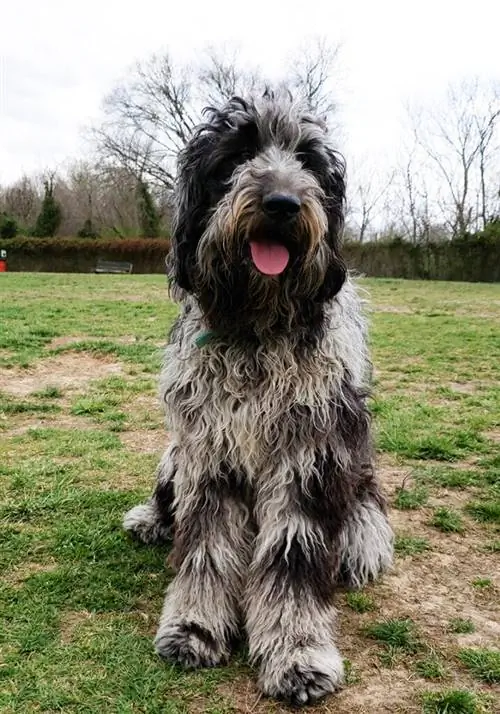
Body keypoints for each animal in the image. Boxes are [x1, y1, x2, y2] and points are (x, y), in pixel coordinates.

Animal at [122, 92, 394, 704]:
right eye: (237, 155)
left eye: (308, 160)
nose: (282, 203)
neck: (257, 328)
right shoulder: (207, 454)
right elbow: (206, 550)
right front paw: (194, 627)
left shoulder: (308, 461)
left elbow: (293, 559)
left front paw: (297, 653)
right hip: (174, 456)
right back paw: (150, 520)